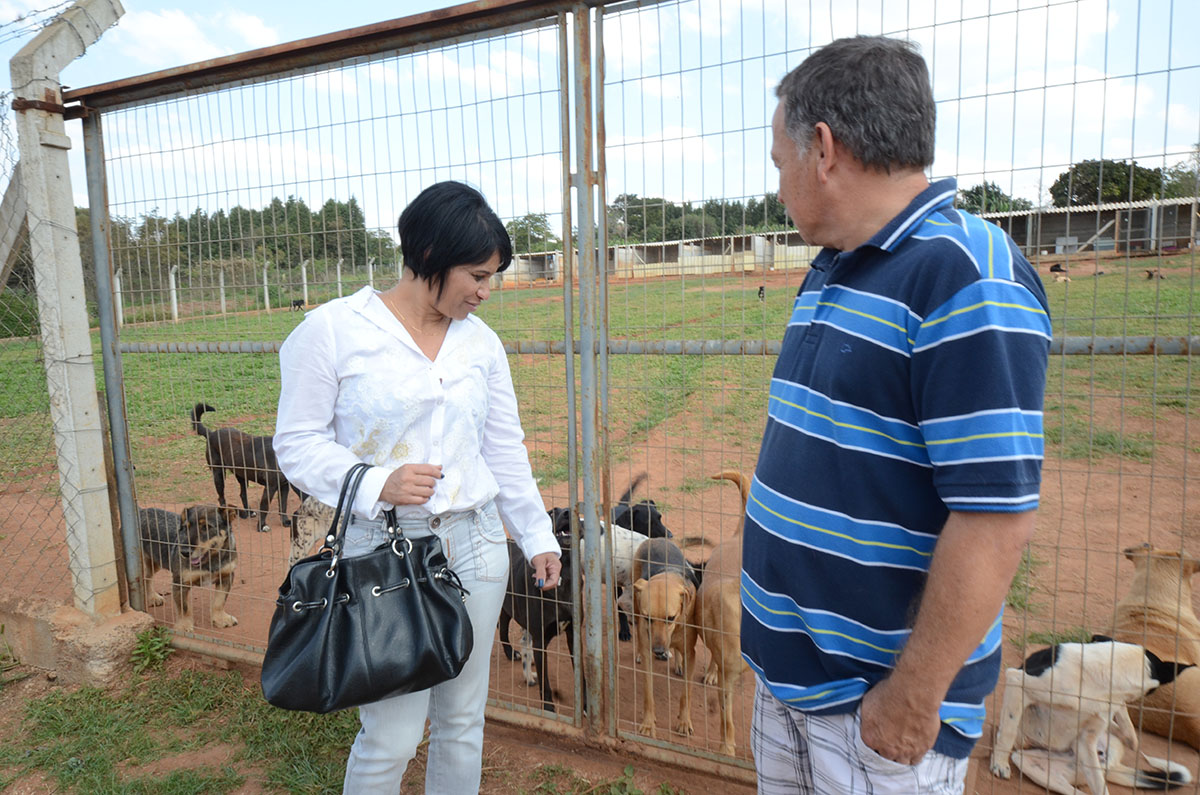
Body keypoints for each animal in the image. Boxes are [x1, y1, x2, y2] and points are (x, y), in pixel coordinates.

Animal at [138, 506, 238, 634]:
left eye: (206, 527)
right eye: (186, 527)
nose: (184, 552)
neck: (211, 560)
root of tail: (141, 510)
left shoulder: (226, 576)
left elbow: (220, 601)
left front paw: (220, 619)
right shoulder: (180, 583)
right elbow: (184, 608)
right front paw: (184, 626)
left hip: (154, 563)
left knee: (148, 577)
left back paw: (153, 598)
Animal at [628, 535, 700, 739]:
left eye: (671, 618)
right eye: (649, 618)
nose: (659, 651)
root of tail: (657, 538)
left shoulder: (690, 653)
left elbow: (686, 694)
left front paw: (684, 722)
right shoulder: (647, 644)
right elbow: (648, 693)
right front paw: (648, 723)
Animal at [988, 634, 1195, 795]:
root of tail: (1113, 766)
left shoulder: (1085, 740)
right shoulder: (1017, 681)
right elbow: (1007, 732)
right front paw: (1000, 764)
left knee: (1127, 741)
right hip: (1026, 761)